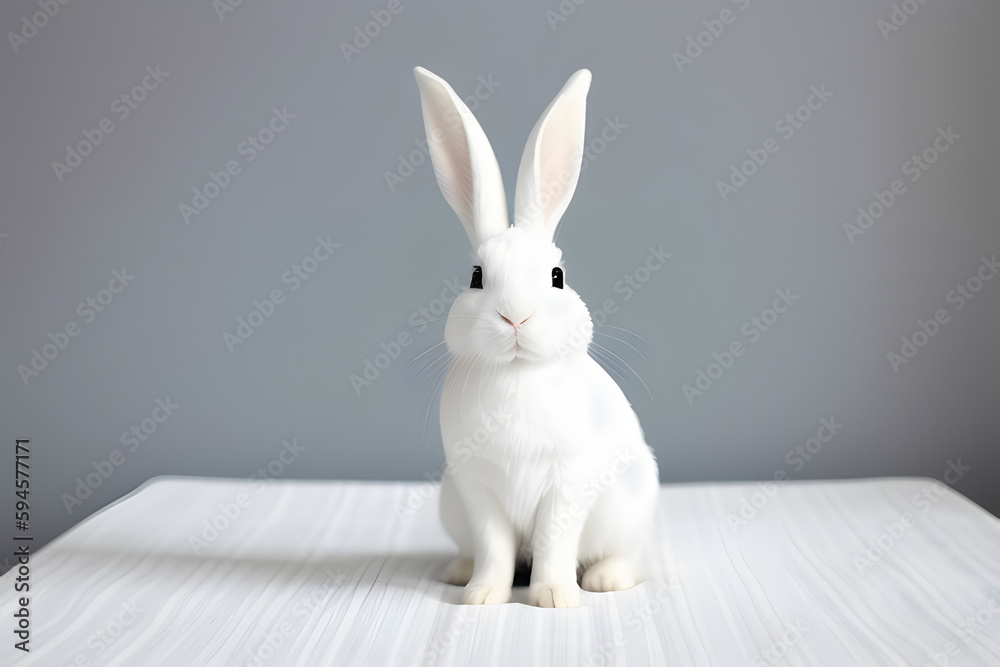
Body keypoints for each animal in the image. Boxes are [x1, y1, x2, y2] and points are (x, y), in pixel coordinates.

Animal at [413, 66, 660, 608]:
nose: (515, 318)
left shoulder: (567, 483)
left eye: (556, 277)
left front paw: (554, 597)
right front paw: (482, 595)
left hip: (630, 506)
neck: (517, 373)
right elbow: (495, 549)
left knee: (634, 558)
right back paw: (457, 573)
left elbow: (553, 541)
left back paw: (604, 580)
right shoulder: (478, 489)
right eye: (477, 277)